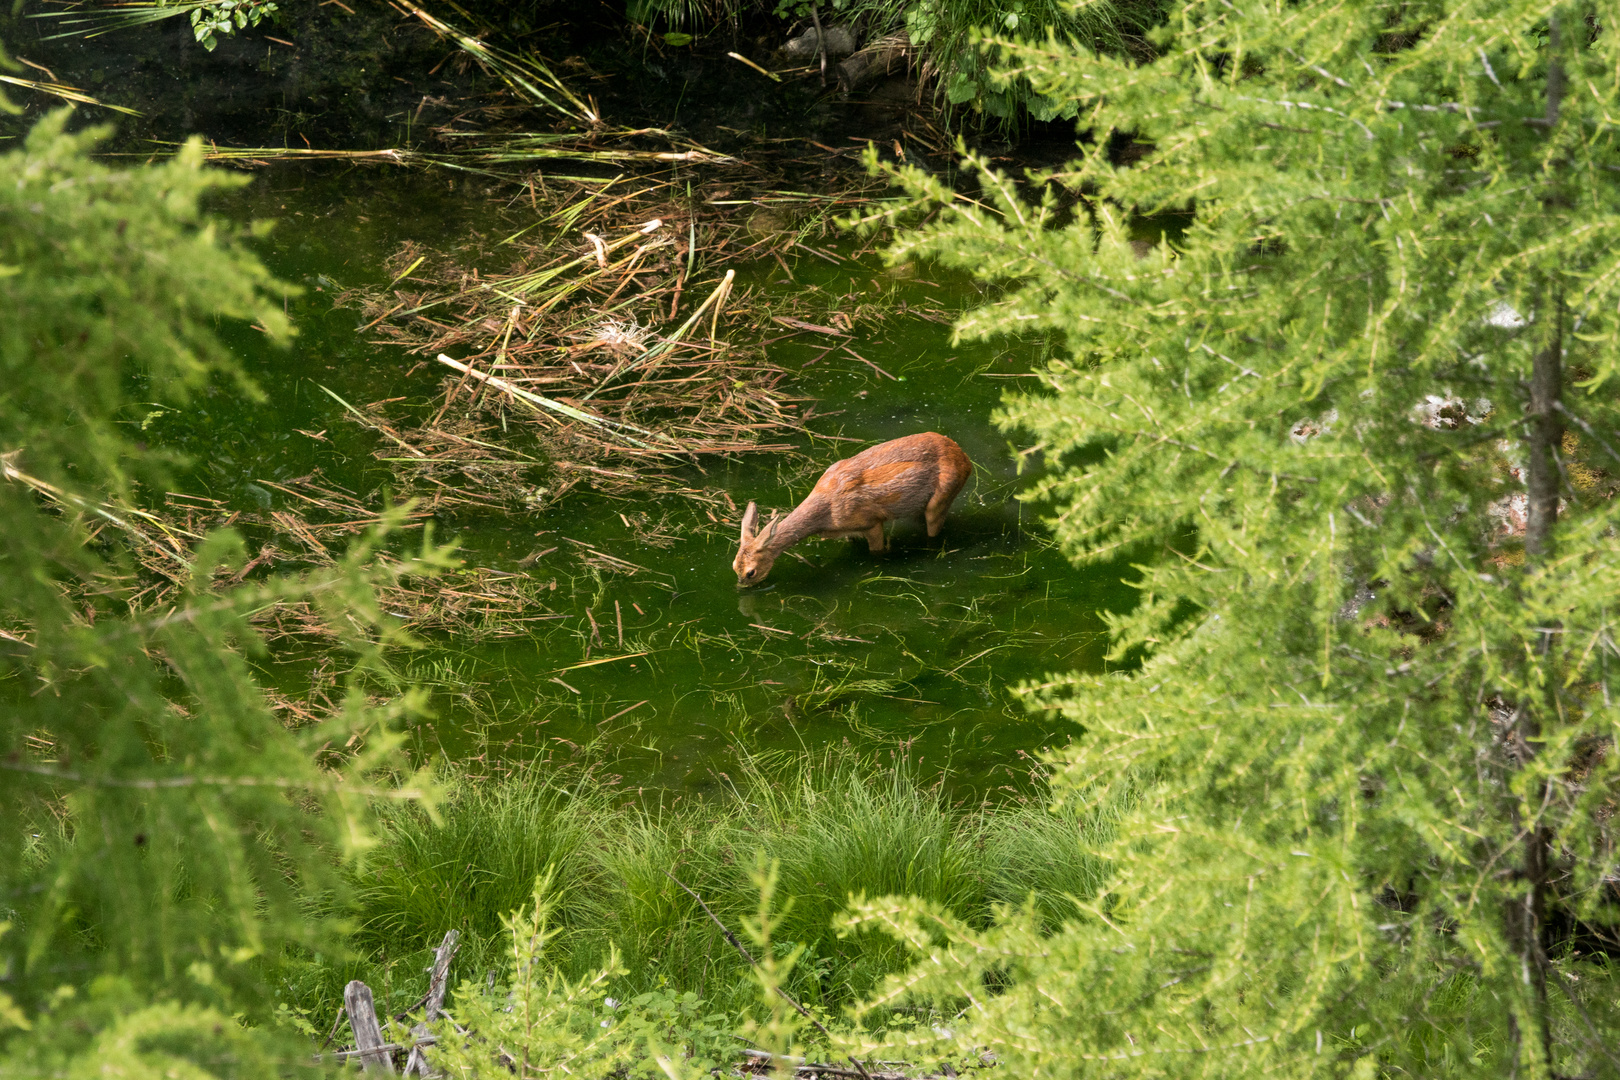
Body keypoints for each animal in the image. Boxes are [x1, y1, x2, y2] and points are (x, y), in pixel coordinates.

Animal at [735, 430, 972, 586]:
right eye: (734, 566)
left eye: (750, 572)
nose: (742, 587)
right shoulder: (849, 530)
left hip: (942, 495)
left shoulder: (871, 522)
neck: (827, 514)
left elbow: (877, 551)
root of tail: (965, 459)